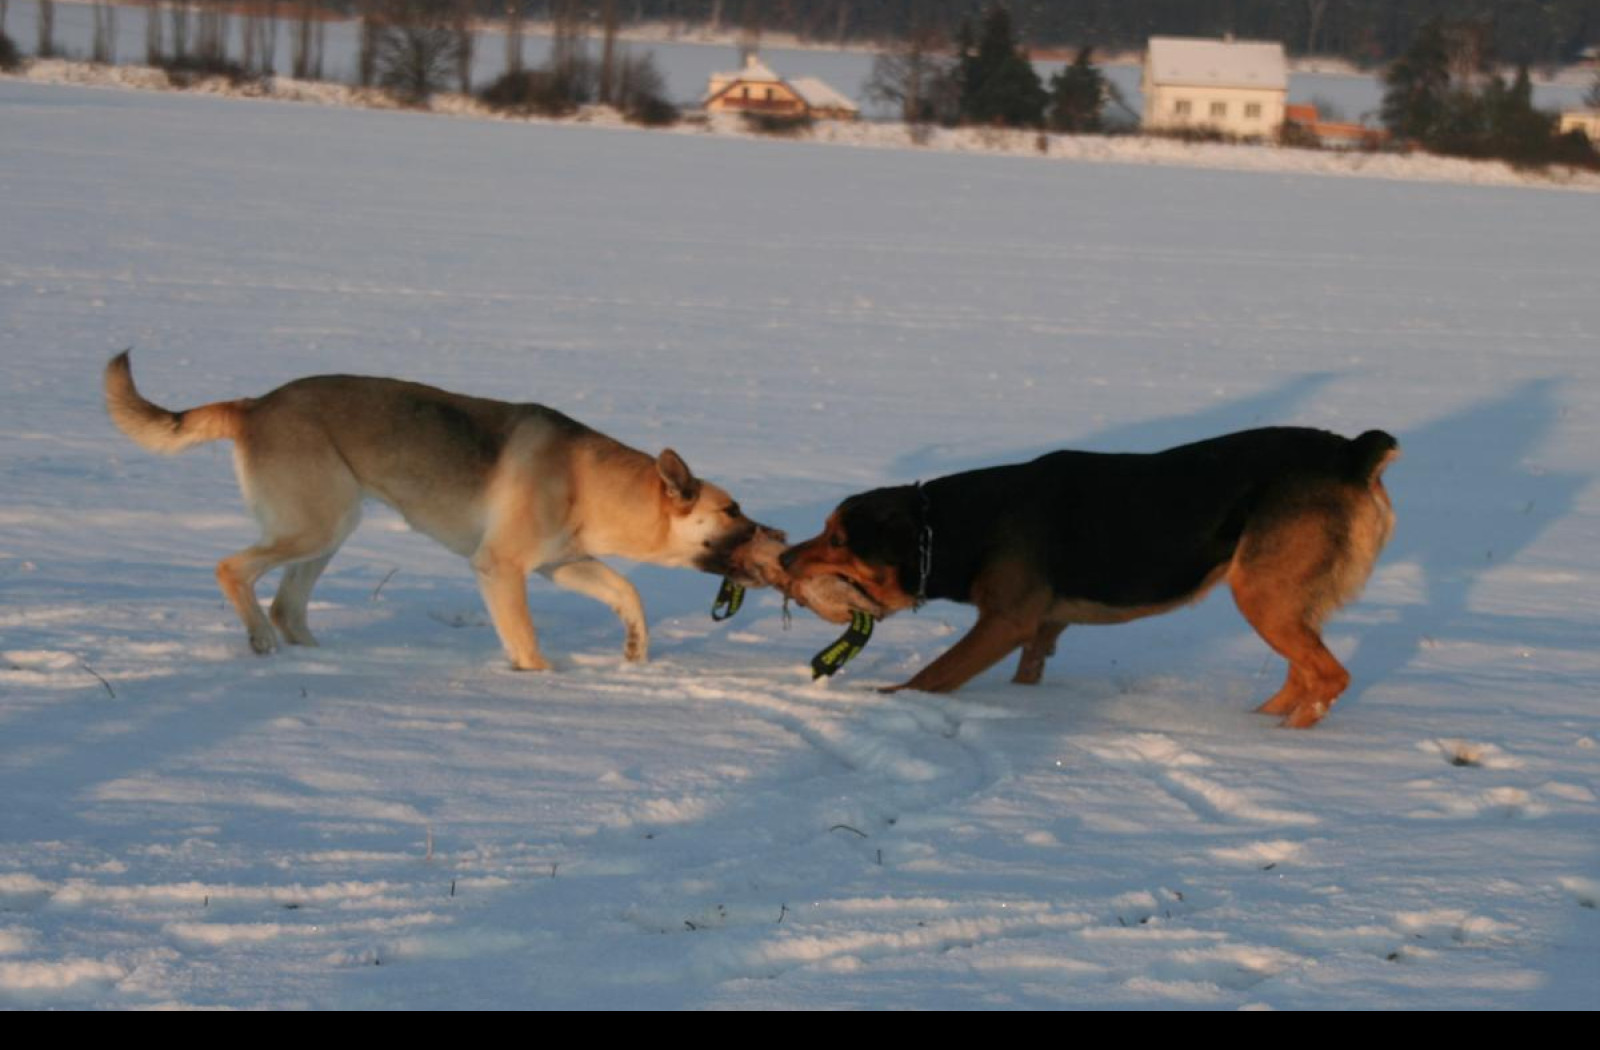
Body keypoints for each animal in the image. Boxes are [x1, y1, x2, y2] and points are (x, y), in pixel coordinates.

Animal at [103, 350, 777, 665]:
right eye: (732, 510)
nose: (777, 534)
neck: (592, 484)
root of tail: (254, 404)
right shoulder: (501, 569)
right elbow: (528, 643)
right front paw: (544, 681)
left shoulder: (561, 564)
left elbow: (628, 592)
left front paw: (636, 650)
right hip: (317, 525)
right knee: (233, 571)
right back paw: (262, 642)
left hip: (329, 530)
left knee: (287, 604)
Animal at [780, 432, 1395, 726]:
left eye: (837, 539)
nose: (784, 559)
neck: (952, 525)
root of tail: (1353, 453)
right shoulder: (1042, 629)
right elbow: (1027, 673)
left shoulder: (1004, 622)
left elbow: (933, 675)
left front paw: (886, 701)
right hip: (1283, 599)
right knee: (1305, 676)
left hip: (1261, 592)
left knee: (1330, 677)